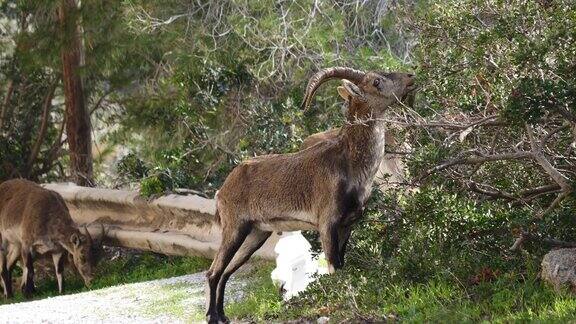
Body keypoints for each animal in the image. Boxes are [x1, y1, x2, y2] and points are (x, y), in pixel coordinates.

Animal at [206, 67, 414, 322]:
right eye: (376, 81)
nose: (410, 78)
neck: (349, 163)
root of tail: (222, 190)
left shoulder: (346, 225)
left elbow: (343, 266)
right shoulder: (326, 223)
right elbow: (334, 268)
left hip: (256, 233)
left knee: (227, 271)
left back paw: (223, 316)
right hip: (235, 227)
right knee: (214, 271)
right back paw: (213, 316)